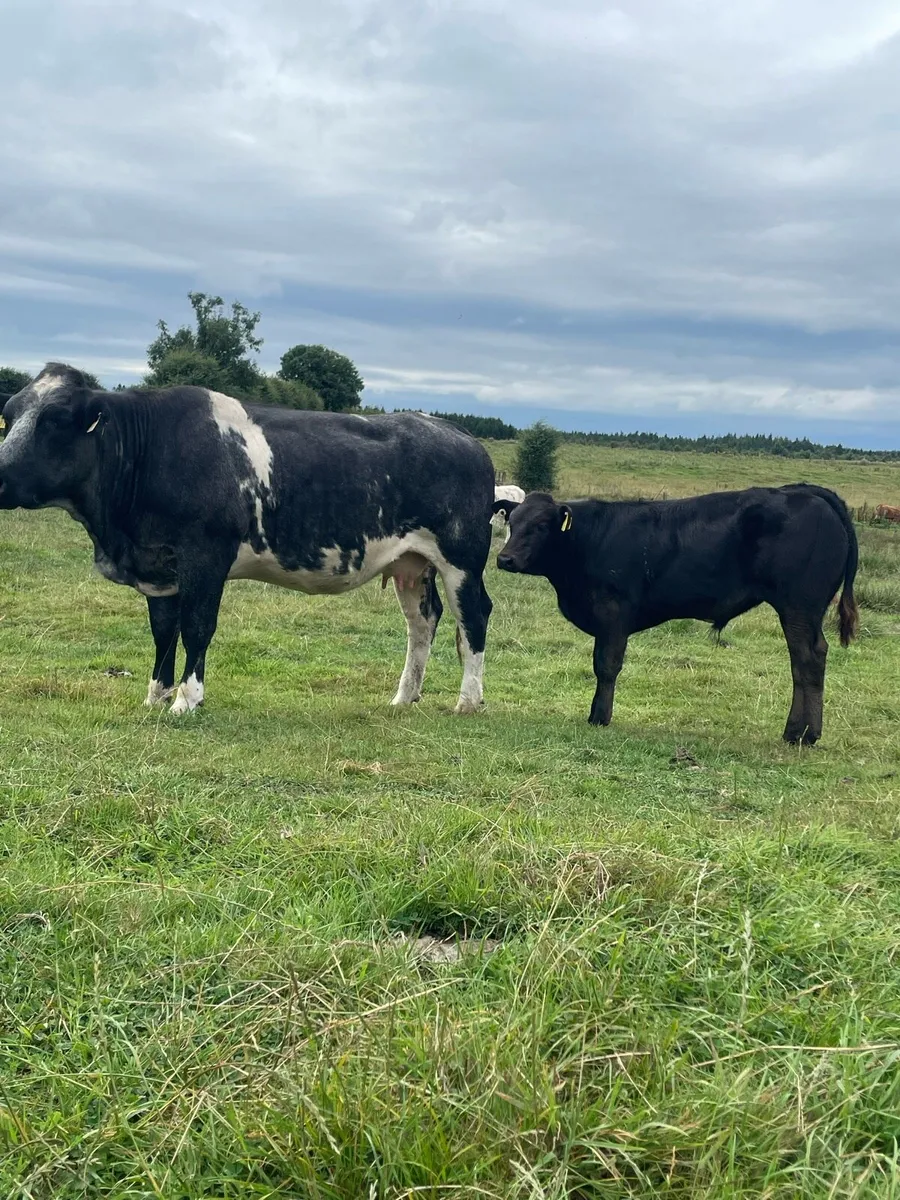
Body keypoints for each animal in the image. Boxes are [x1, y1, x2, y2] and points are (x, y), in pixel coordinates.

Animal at [0, 364, 494, 715]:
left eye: (56, 419)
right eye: (9, 415)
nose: (1, 475)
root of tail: (458, 433)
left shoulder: (205, 557)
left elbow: (197, 626)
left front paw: (187, 700)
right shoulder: (160, 563)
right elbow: (163, 631)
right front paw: (156, 695)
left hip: (462, 559)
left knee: (473, 617)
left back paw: (468, 701)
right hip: (411, 562)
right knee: (422, 622)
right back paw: (404, 697)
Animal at [494, 485, 859, 745]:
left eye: (542, 525)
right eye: (512, 522)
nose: (505, 559)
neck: (588, 540)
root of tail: (804, 491)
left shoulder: (614, 614)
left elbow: (606, 666)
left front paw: (599, 717)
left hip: (798, 607)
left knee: (805, 660)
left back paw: (799, 733)